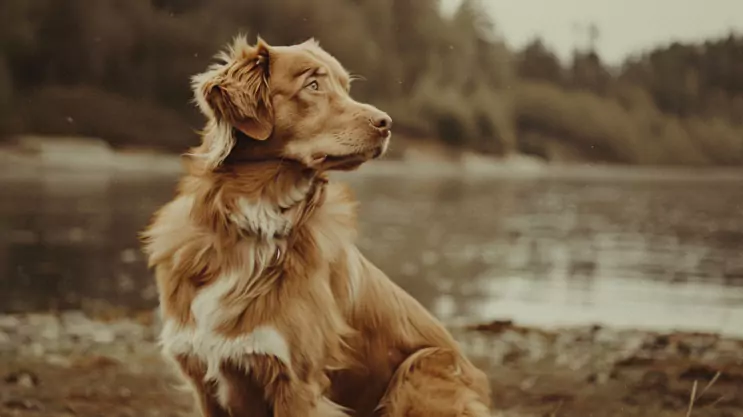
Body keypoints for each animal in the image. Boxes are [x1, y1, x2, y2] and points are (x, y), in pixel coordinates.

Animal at [143, 35, 494, 416]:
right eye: (313, 85)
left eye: (345, 87)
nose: (386, 122)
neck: (254, 220)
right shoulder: (203, 380)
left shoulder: (297, 382)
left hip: (417, 370)